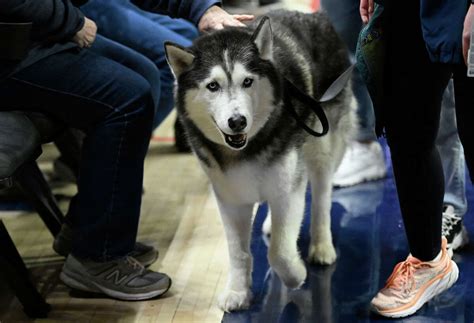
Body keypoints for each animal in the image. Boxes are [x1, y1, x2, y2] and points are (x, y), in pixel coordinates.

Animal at [167, 10, 356, 312]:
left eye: (247, 81)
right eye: (212, 86)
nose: (237, 121)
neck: (246, 149)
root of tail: (313, 15)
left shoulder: (288, 187)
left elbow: (279, 251)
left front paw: (295, 276)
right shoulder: (229, 197)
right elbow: (238, 252)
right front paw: (238, 291)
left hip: (322, 147)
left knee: (321, 199)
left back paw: (321, 246)